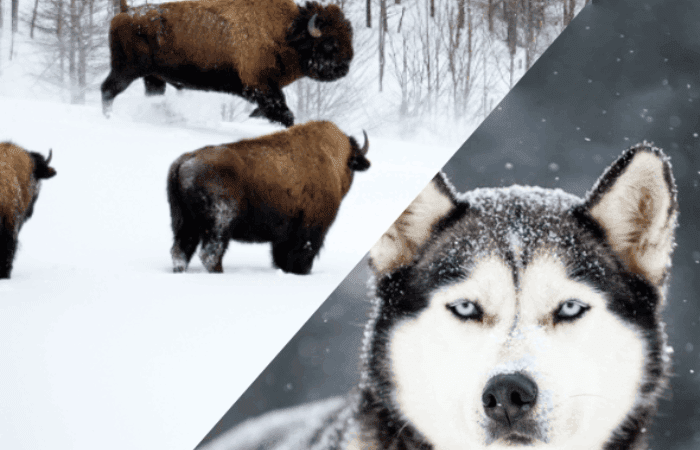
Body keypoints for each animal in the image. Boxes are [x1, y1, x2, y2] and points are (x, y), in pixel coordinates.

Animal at [102, 0, 354, 127]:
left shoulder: (264, 90)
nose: (344, 68)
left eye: (349, 36)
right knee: (108, 90)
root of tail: (125, 13)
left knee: (151, 96)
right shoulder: (259, 86)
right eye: (330, 43)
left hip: (153, 77)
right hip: (126, 70)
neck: (287, 31)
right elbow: (284, 112)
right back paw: (108, 118)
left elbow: (269, 110)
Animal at [167, 121, 369, 274]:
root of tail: (185, 160)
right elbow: (302, 253)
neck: (333, 159)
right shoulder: (311, 229)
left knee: (181, 250)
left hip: (184, 222)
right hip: (219, 224)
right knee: (210, 253)